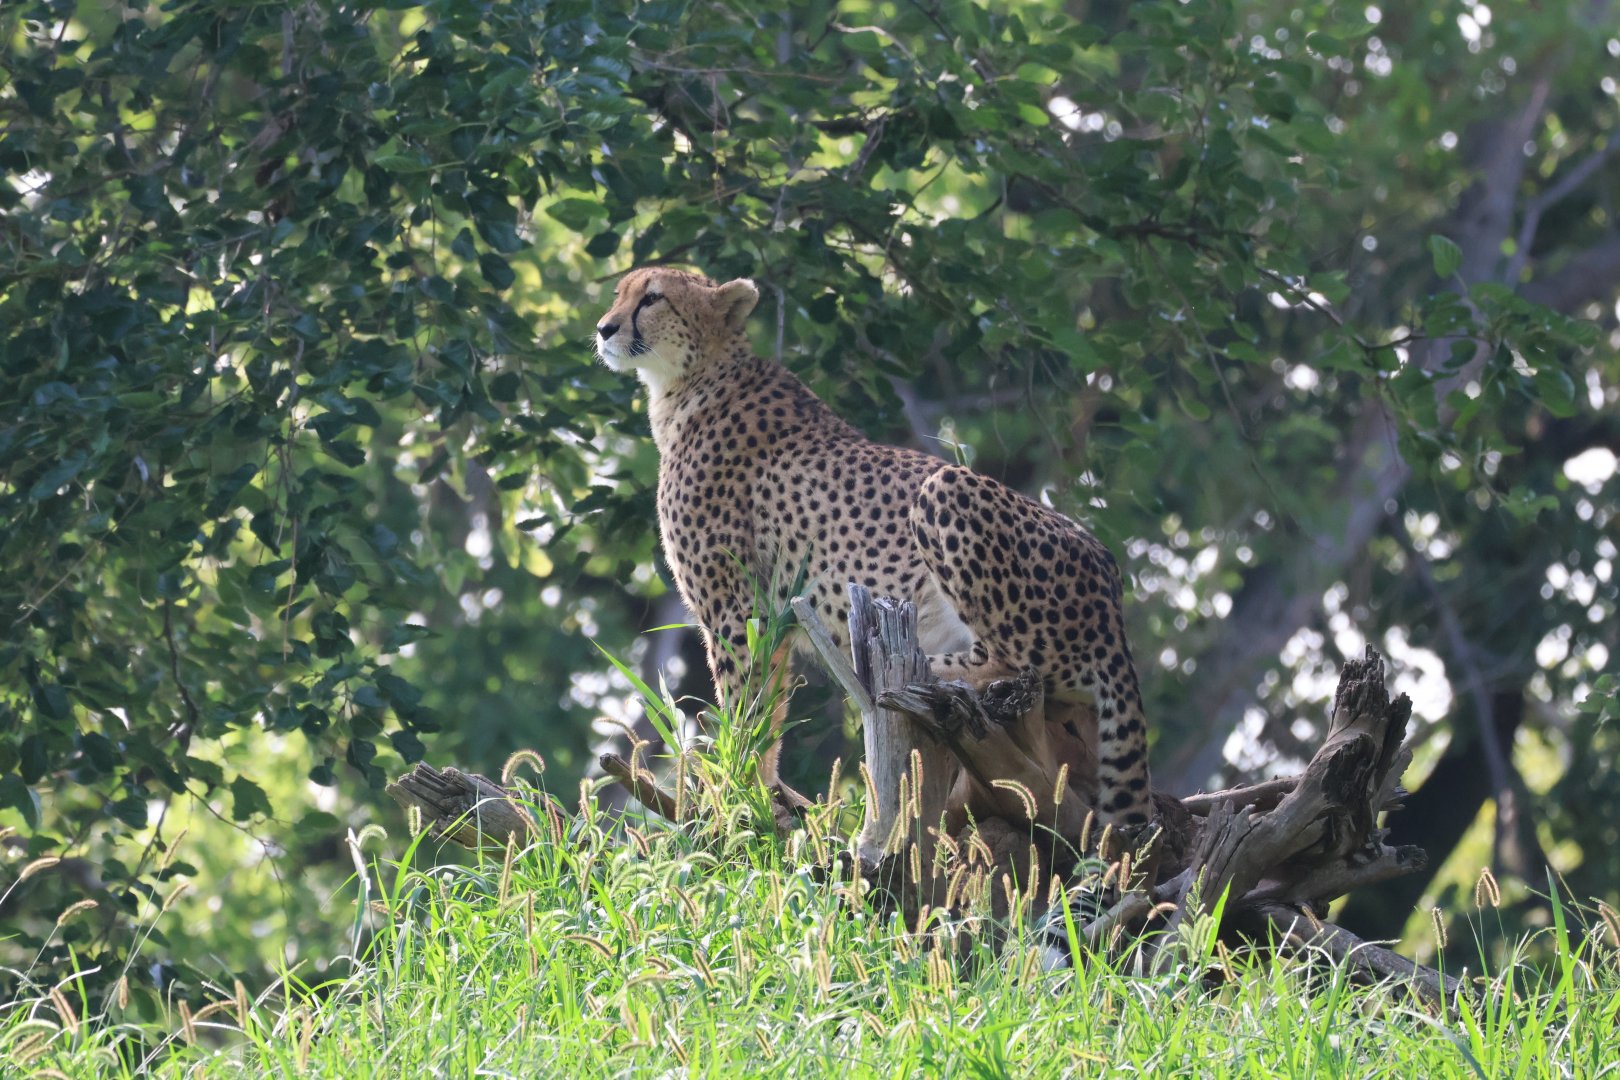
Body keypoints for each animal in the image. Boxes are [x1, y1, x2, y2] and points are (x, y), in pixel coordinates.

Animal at [594, 266, 1155, 832]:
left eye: (653, 298)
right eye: (619, 293)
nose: (604, 328)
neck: (692, 380)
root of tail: (1110, 578)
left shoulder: (738, 609)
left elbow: (746, 707)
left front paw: (737, 796)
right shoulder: (764, 614)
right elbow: (765, 711)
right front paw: (763, 798)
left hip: (945, 489)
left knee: (1019, 666)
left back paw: (898, 674)